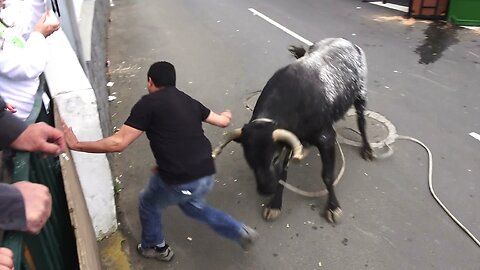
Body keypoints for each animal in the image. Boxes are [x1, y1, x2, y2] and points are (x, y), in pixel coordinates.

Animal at [214, 38, 376, 224]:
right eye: (249, 159)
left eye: (274, 158)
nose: (265, 190)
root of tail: (346, 42)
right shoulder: (290, 140)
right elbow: (283, 174)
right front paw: (274, 205)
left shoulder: (326, 138)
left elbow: (327, 175)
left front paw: (333, 207)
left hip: (361, 95)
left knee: (362, 121)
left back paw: (367, 149)